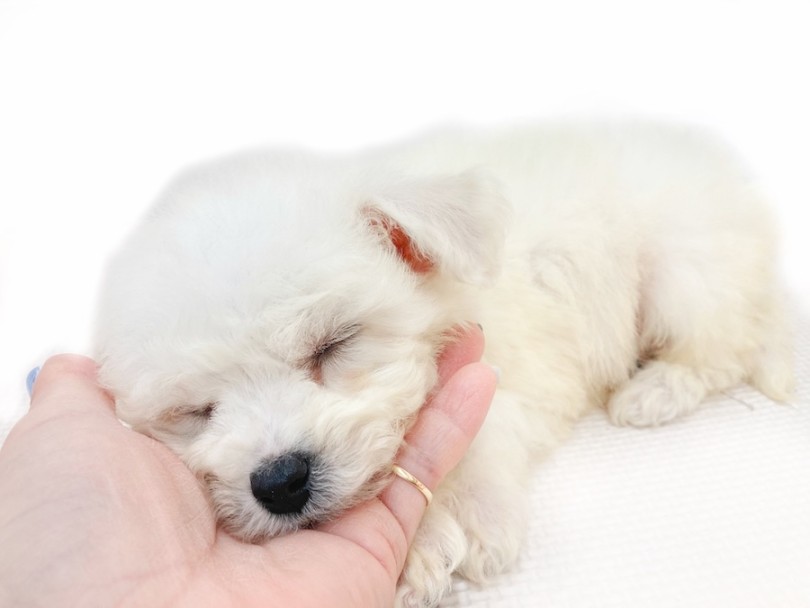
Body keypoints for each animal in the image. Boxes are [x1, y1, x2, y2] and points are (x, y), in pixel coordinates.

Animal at [94, 122, 795, 606]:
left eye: (333, 344)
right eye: (196, 410)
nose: (280, 481)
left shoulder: (505, 368)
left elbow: (476, 432)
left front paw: (451, 531)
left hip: (685, 265)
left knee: (723, 345)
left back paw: (656, 389)